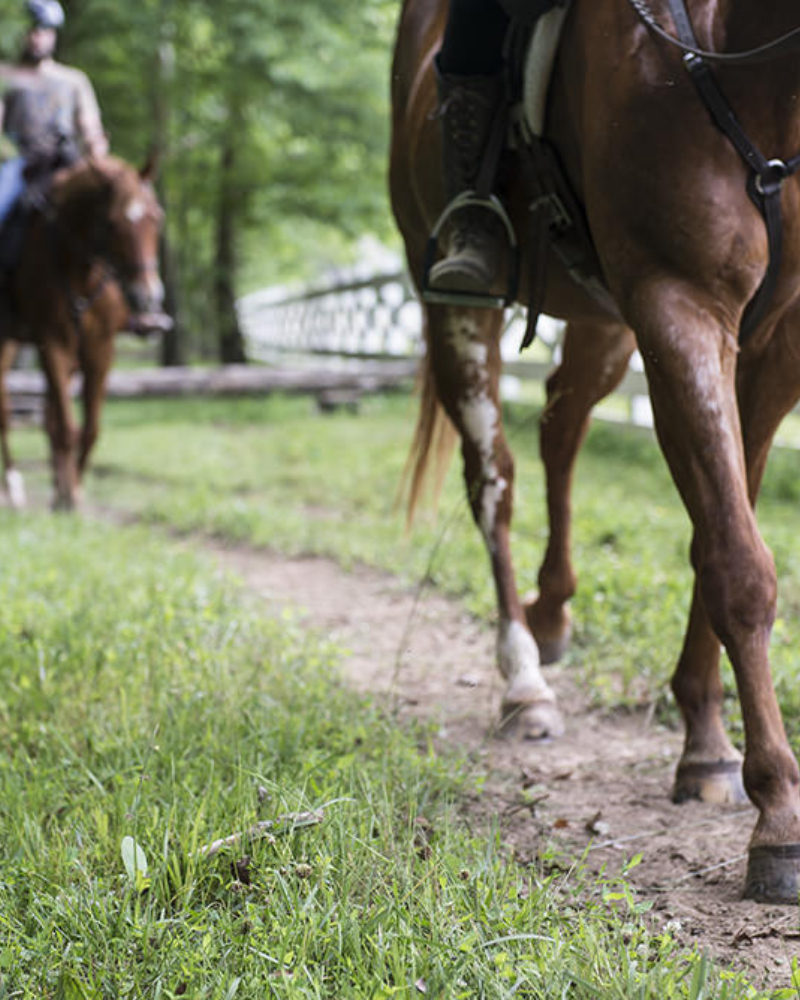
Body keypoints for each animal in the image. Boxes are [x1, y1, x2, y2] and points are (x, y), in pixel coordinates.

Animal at [0, 154, 167, 510]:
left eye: (156, 218)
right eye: (112, 223)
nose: (147, 296)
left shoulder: (99, 349)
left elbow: (88, 428)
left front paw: (67, 488)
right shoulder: (53, 343)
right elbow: (66, 426)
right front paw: (70, 496)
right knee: (6, 413)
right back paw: (13, 485)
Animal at [390, 0, 800, 902]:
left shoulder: (774, 341)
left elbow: (723, 528)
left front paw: (705, 743)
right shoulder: (677, 304)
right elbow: (738, 562)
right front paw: (780, 815)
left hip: (603, 325)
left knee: (561, 427)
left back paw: (552, 613)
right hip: (451, 300)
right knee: (494, 481)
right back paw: (524, 683)